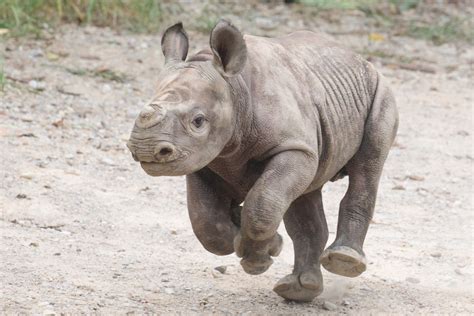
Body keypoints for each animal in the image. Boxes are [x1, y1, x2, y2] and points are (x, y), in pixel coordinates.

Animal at [126, 19, 396, 302]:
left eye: (198, 121)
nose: (145, 148)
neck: (235, 90)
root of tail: (359, 58)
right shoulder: (204, 161)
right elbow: (206, 223)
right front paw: (262, 244)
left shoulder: (292, 146)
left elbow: (261, 205)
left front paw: (258, 258)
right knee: (305, 192)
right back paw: (298, 290)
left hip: (380, 91)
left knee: (368, 164)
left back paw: (344, 261)